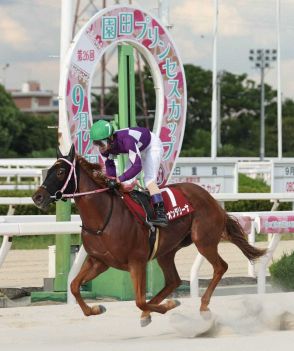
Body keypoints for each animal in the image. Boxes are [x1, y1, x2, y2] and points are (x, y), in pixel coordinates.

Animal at [32, 146, 266, 328]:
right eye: (48, 170)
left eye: (61, 171)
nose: (37, 197)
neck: (103, 219)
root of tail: (212, 199)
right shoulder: (99, 261)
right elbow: (73, 286)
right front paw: (96, 308)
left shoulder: (136, 261)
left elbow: (139, 300)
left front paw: (168, 305)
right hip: (167, 250)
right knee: (173, 280)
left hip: (204, 240)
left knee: (220, 267)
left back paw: (203, 305)